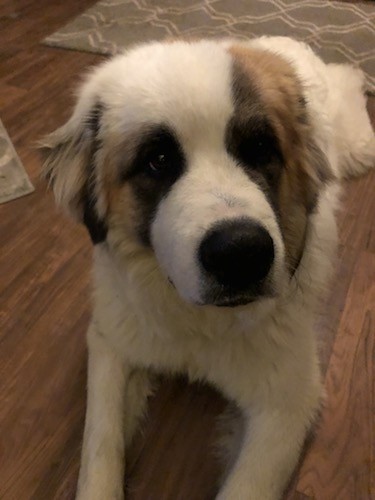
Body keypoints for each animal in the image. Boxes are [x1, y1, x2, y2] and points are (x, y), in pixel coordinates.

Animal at [39, 36, 374, 500]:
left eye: (261, 149)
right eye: (158, 160)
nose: (240, 252)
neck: (199, 323)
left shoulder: (287, 404)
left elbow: (247, 486)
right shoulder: (111, 341)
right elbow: (100, 443)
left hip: (355, 144)